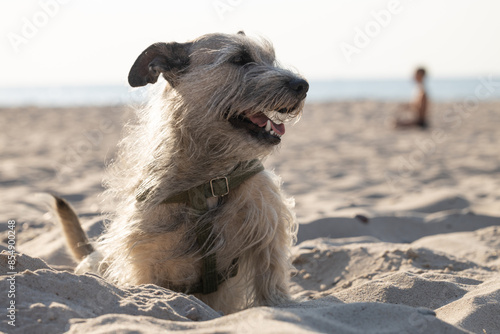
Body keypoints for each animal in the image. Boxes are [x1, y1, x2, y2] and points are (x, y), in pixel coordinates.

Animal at [53, 30, 308, 314]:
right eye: (240, 59)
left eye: (270, 59)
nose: (303, 85)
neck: (210, 179)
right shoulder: (146, 257)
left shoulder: (268, 231)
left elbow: (271, 277)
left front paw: (281, 303)